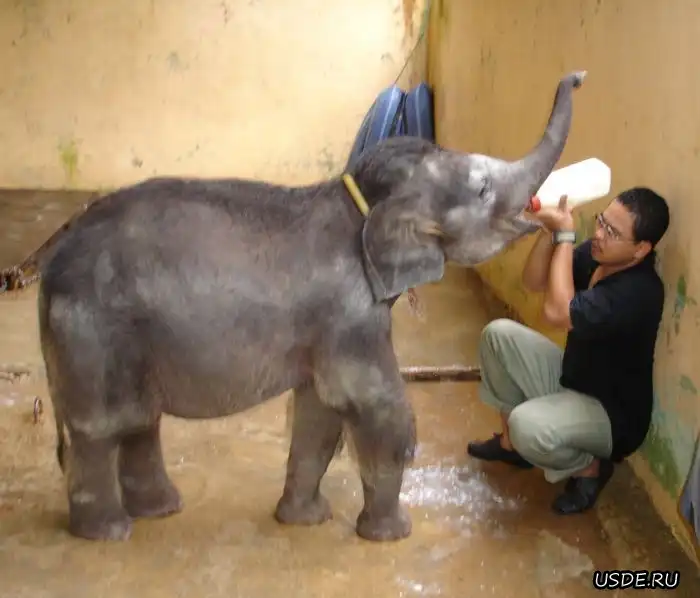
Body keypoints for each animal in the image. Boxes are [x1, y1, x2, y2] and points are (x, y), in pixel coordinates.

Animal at [37, 70, 587, 542]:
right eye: (482, 188)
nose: (579, 76)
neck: (359, 201)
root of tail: (49, 264)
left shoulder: (326, 327)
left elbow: (319, 415)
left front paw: (303, 521)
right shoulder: (350, 314)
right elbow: (377, 405)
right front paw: (391, 535)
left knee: (137, 421)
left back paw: (160, 510)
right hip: (93, 333)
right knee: (102, 427)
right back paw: (109, 532)